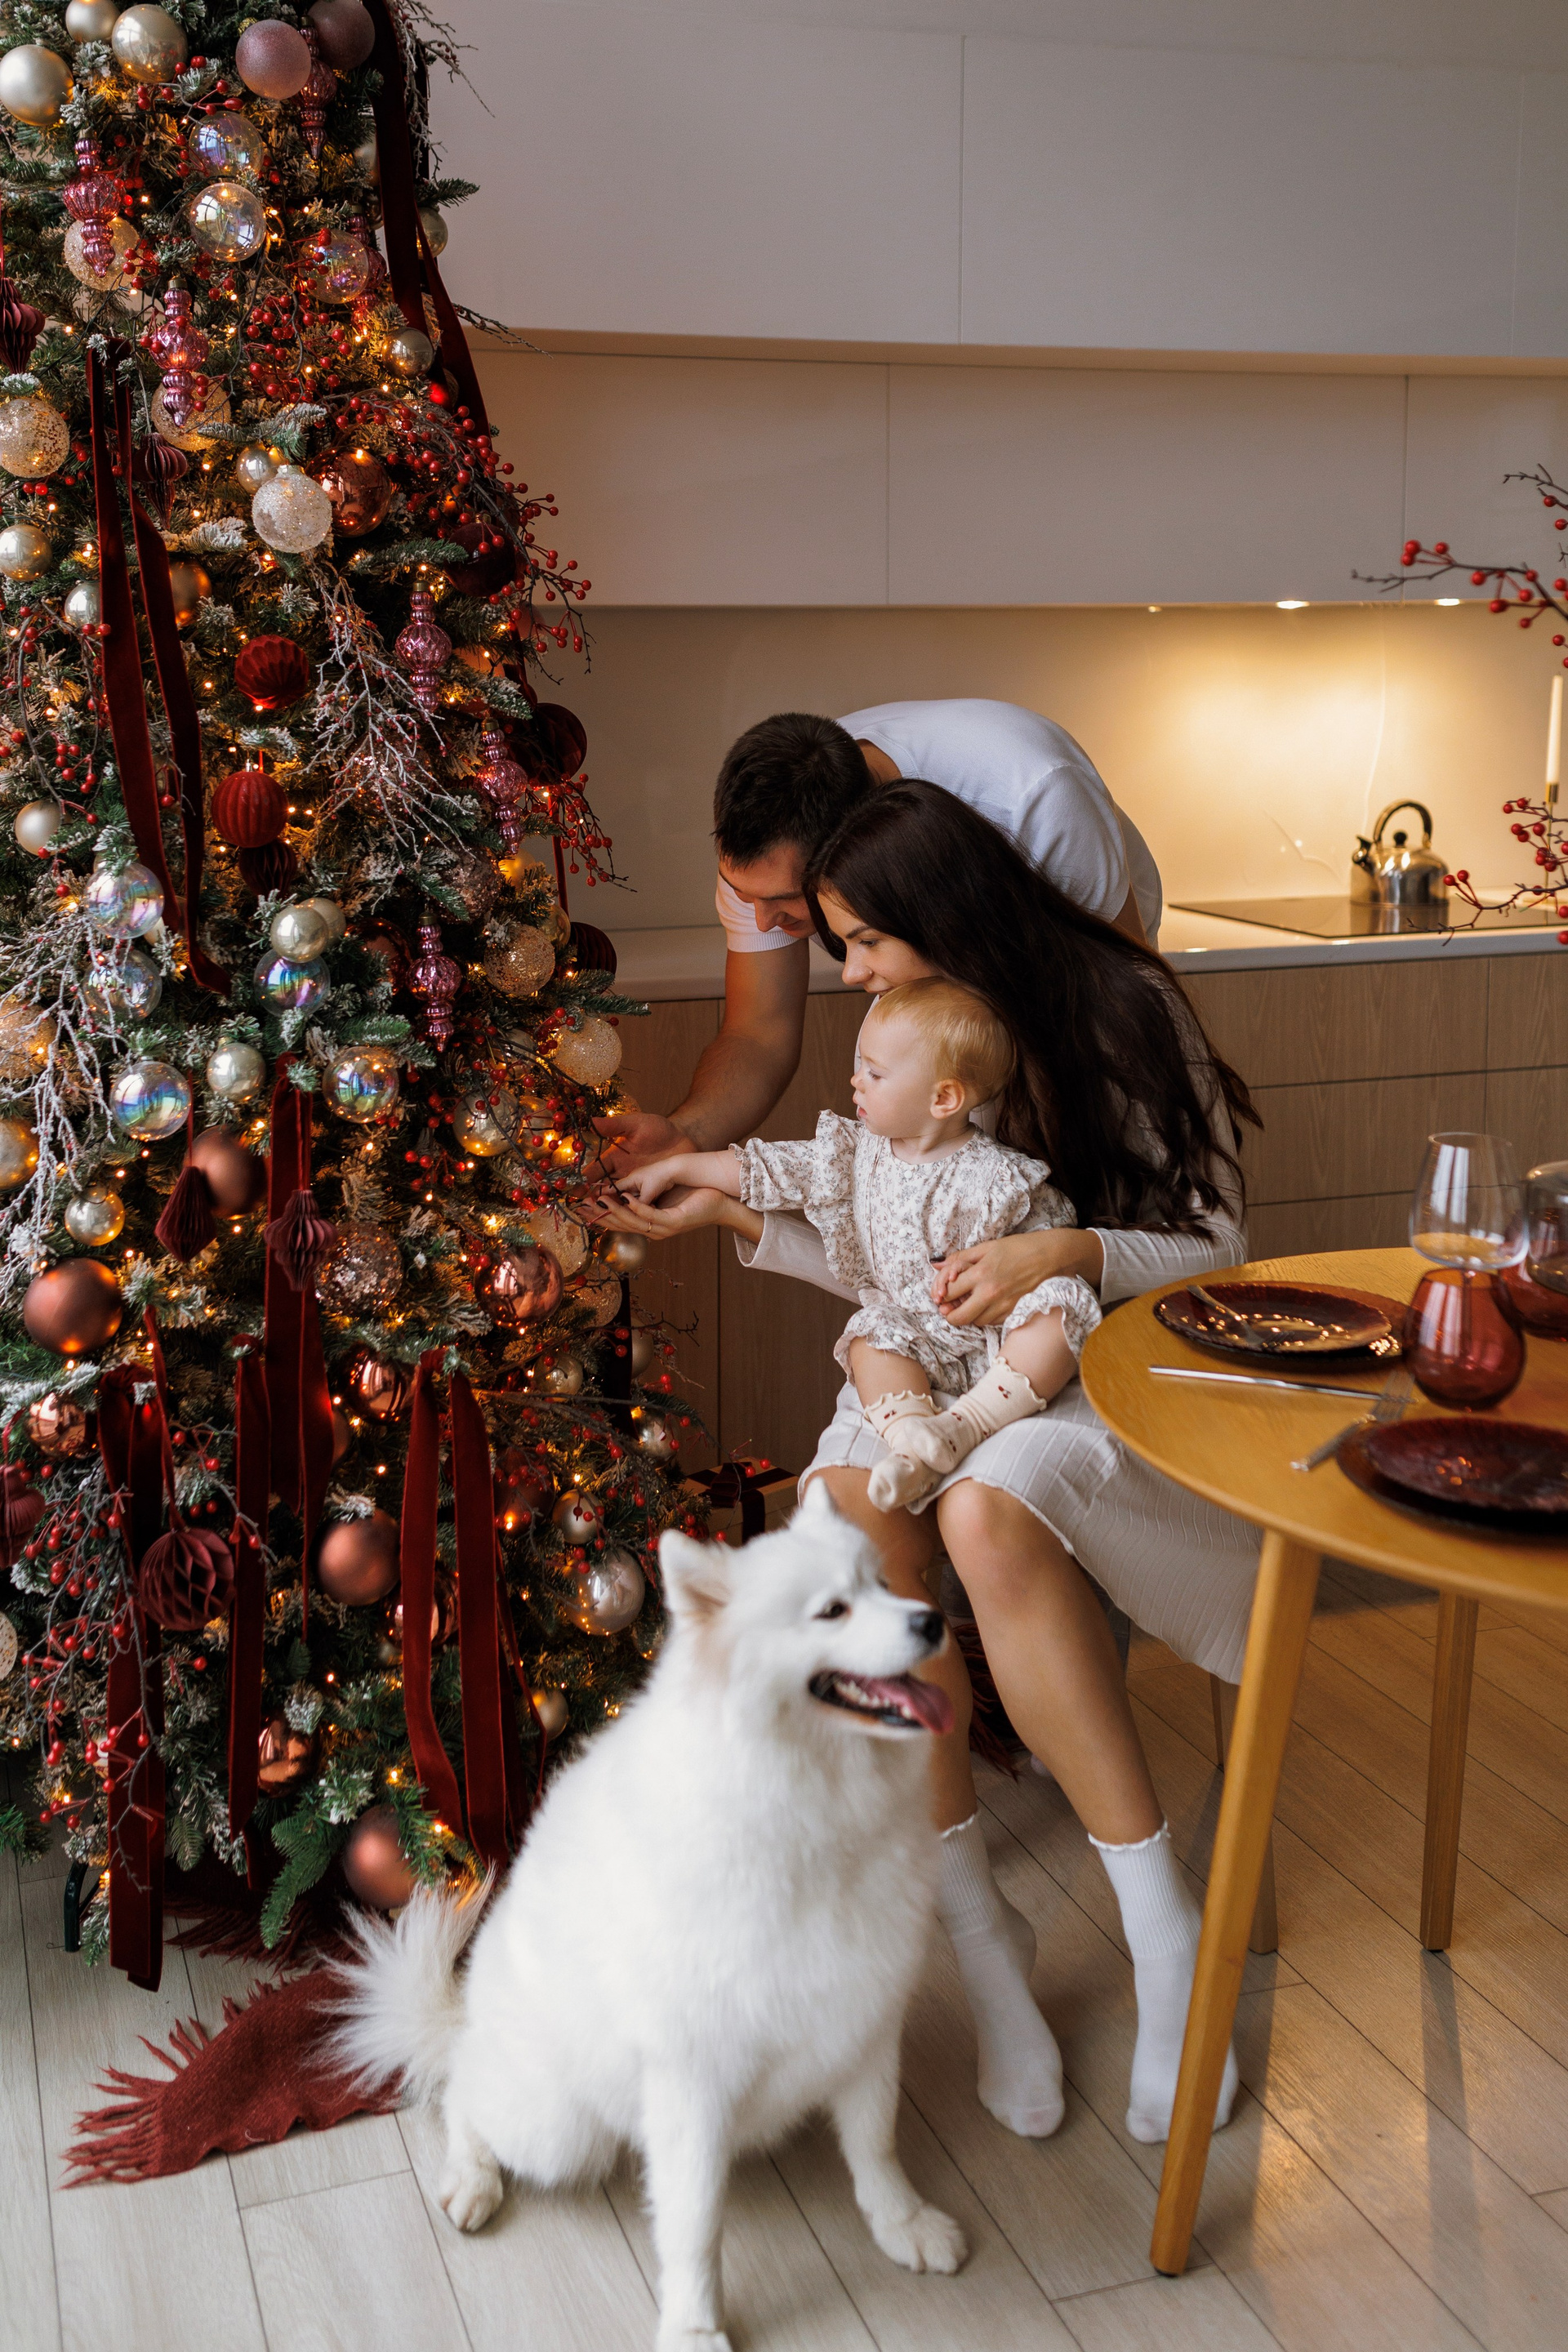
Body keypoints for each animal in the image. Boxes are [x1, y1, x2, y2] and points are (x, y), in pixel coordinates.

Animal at [333, 1479, 968, 2351]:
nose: (932, 1621)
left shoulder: (864, 2018)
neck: (805, 1806)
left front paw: (903, 2225)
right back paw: (470, 2177)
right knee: (464, 2093)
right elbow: (696, 2224)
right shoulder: (690, 2080)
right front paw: (695, 2328)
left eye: (881, 1582)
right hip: (557, 2126)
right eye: (832, 1611)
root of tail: (469, 2014)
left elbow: (877, 2146)